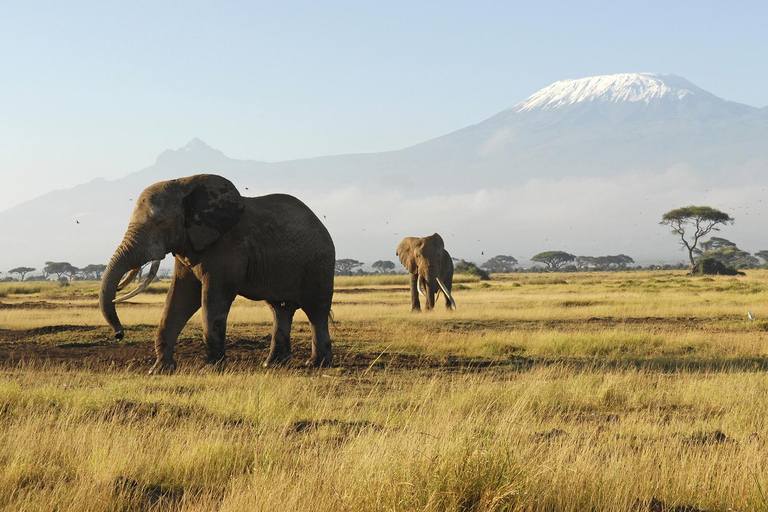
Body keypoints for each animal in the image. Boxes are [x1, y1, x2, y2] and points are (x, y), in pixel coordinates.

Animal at [98, 173, 332, 372]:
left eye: (160, 222)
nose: (119, 334)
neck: (184, 185)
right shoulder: (189, 244)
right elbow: (180, 298)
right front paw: (159, 370)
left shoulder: (227, 246)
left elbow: (212, 298)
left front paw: (211, 369)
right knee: (280, 310)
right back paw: (272, 365)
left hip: (319, 264)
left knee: (316, 311)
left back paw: (316, 364)